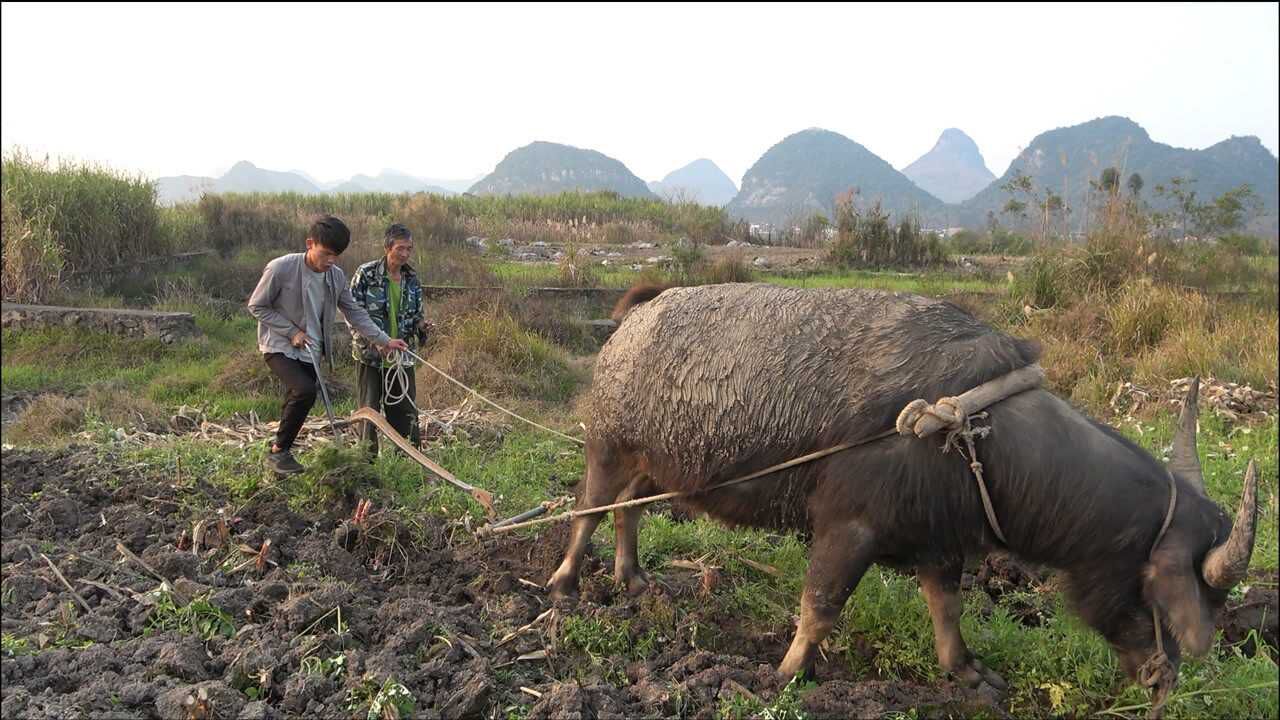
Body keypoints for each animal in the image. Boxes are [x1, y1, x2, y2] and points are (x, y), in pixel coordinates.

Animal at [545, 280, 1254, 707]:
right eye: (1158, 592)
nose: (1165, 683)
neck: (973, 433)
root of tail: (635, 313)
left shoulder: (941, 540)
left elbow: (948, 608)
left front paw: (969, 674)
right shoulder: (847, 526)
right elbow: (820, 606)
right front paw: (786, 674)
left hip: (657, 466)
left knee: (626, 512)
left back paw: (634, 579)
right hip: (606, 445)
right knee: (587, 509)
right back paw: (564, 584)